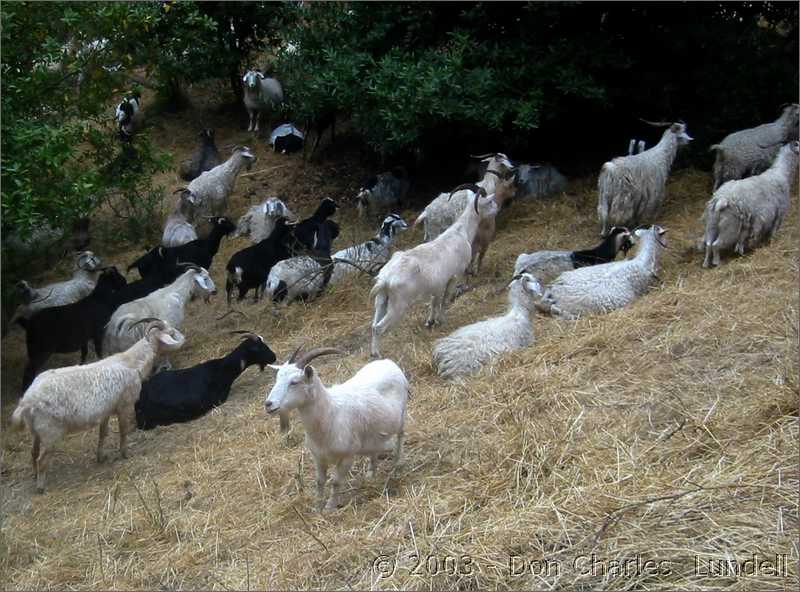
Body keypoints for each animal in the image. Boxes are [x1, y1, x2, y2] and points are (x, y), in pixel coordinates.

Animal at [9, 316, 184, 492]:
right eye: (170, 333)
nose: (183, 338)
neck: (131, 362)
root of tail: (26, 401)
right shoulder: (125, 405)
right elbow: (123, 431)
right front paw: (125, 454)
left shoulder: (106, 411)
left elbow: (103, 434)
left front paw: (101, 457)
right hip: (50, 431)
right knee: (41, 459)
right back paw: (41, 487)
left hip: (36, 430)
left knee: (33, 452)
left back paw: (34, 475)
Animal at [266, 350, 410, 512]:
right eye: (277, 379)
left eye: (294, 382)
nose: (268, 404)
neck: (330, 414)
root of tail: (388, 362)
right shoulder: (318, 457)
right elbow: (319, 481)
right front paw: (317, 507)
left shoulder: (348, 456)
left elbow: (335, 482)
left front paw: (330, 507)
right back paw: (370, 473)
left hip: (402, 414)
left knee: (401, 436)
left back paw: (398, 464)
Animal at [370, 191, 496, 356]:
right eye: (489, 202)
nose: (497, 209)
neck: (460, 232)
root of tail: (385, 279)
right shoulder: (454, 277)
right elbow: (444, 300)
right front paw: (441, 320)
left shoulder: (436, 285)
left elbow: (433, 302)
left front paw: (430, 321)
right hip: (398, 305)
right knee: (379, 328)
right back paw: (376, 354)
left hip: (381, 300)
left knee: (373, 325)